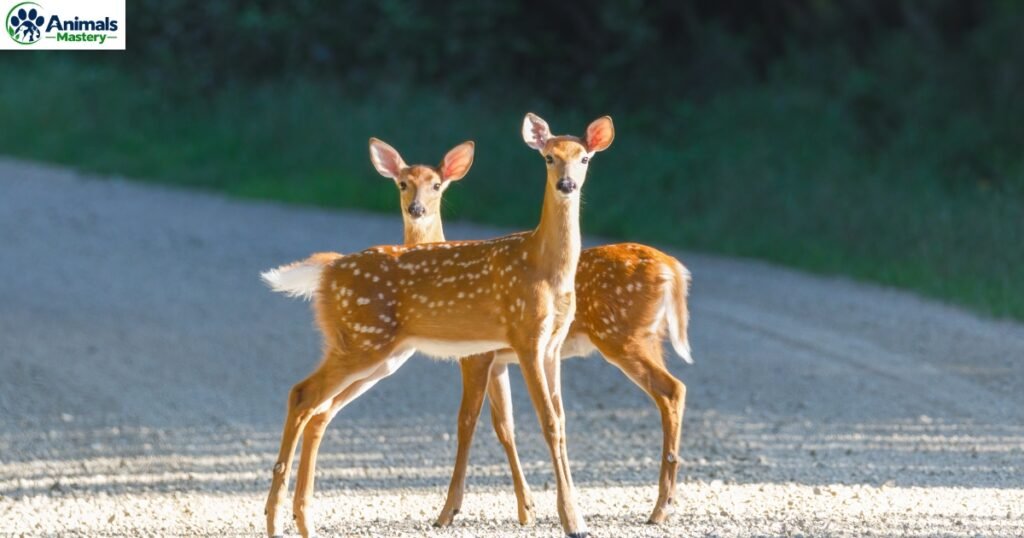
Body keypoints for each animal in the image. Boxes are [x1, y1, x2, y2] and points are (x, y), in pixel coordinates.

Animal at [260, 113, 614, 538]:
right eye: (548, 157)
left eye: (585, 158)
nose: (567, 185)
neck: (544, 267)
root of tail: (327, 272)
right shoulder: (524, 336)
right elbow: (543, 423)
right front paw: (572, 521)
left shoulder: (551, 346)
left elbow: (558, 421)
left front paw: (563, 514)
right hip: (363, 340)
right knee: (301, 394)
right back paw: (274, 519)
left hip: (379, 354)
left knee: (319, 411)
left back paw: (303, 519)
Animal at [363, 122, 693, 527]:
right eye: (402, 184)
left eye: (437, 185)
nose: (417, 209)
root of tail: (673, 268)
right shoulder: (499, 360)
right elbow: (505, 425)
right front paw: (526, 509)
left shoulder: (477, 356)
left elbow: (467, 422)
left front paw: (449, 511)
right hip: (648, 337)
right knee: (674, 389)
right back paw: (664, 502)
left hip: (623, 335)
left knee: (671, 390)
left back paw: (659, 507)